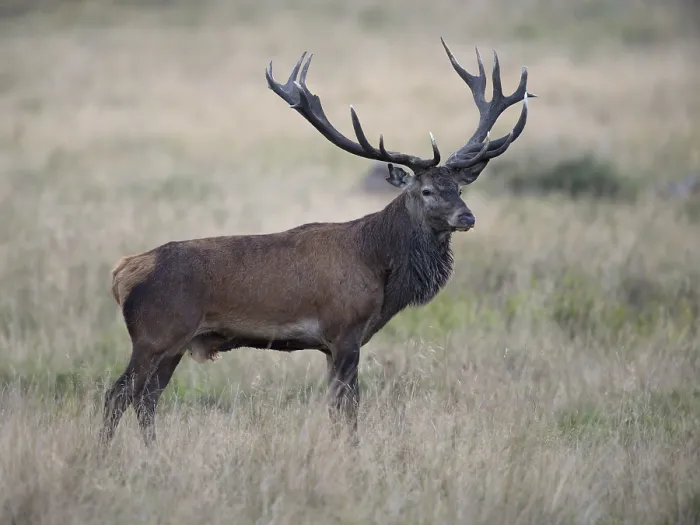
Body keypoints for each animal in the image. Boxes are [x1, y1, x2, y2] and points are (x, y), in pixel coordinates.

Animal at [99, 38, 535, 448]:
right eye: (426, 190)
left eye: (458, 188)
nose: (467, 217)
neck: (379, 266)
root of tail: (121, 272)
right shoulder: (345, 330)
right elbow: (349, 409)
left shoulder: (332, 344)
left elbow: (334, 409)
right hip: (156, 334)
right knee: (117, 395)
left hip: (174, 344)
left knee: (147, 399)